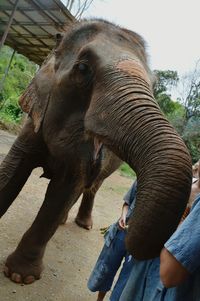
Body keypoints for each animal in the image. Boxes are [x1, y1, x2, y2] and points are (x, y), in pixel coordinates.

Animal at [0, 19, 192, 284]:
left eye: (153, 86)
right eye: (82, 68)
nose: (126, 226)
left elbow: (66, 188)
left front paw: (20, 276)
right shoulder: (33, 123)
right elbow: (13, 169)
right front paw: (19, 275)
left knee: (91, 187)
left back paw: (83, 224)